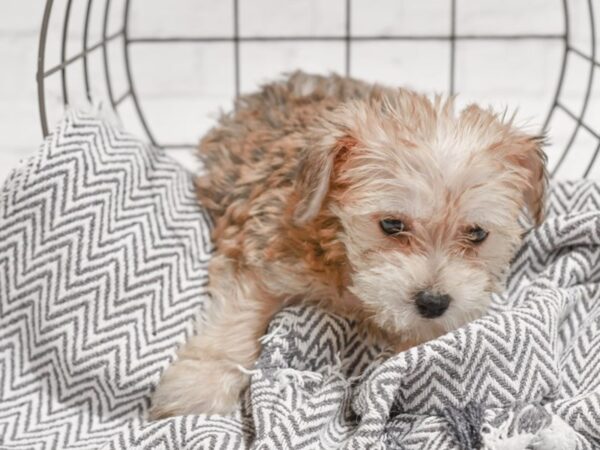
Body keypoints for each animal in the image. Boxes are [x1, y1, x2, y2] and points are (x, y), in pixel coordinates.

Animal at [148, 71, 548, 418]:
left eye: (477, 233)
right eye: (391, 224)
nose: (433, 303)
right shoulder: (262, 253)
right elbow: (237, 319)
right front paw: (201, 383)